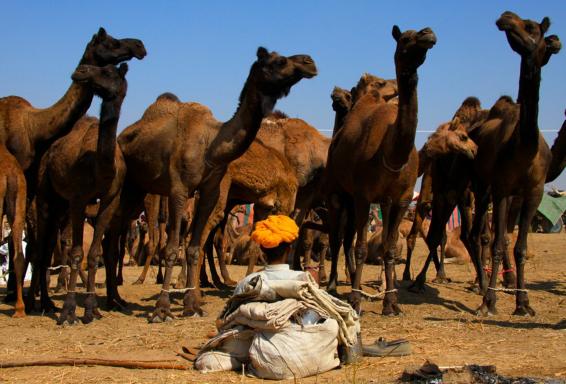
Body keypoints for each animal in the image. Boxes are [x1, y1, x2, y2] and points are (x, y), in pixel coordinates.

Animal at [36, 63, 131, 324]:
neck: (102, 167)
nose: (82, 70)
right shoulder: (78, 199)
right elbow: (77, 253)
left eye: (108, 72)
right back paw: (44, 303)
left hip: (61, 204)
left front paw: (91, 309)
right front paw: (69, 311)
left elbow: (95, 253)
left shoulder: (110, 201)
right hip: (46, 195)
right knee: (43, 247)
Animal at [114, 47, 320, 320]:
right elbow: (173, 248)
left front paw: (191, 305)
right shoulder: (180, 190)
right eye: (279, 61)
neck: (211, 145)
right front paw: (162, 308)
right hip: (130, 184)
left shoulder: (211, 191)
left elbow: (194, 247)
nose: (309, 62)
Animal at [324, 24, 440, 316]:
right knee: (337, 237)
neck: (391, 152)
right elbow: (362, 247)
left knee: (348, 237)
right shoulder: (363, 195)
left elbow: (389, 249)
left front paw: (391, 302)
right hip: (338, 194)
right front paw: (355, 299)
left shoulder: (401, 199)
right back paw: (333, 285)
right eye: (406, 38)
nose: (428, 33)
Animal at [470, 12, 564, 318]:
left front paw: (523, 302)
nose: (506, 17)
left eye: (531, 27)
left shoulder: (533, 192)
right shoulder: (501, 188)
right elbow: (498, 244)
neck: (525, 147)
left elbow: (520, 247)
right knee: (479, 235)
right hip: (481, 186)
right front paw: (489, 302)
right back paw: (484, 290)